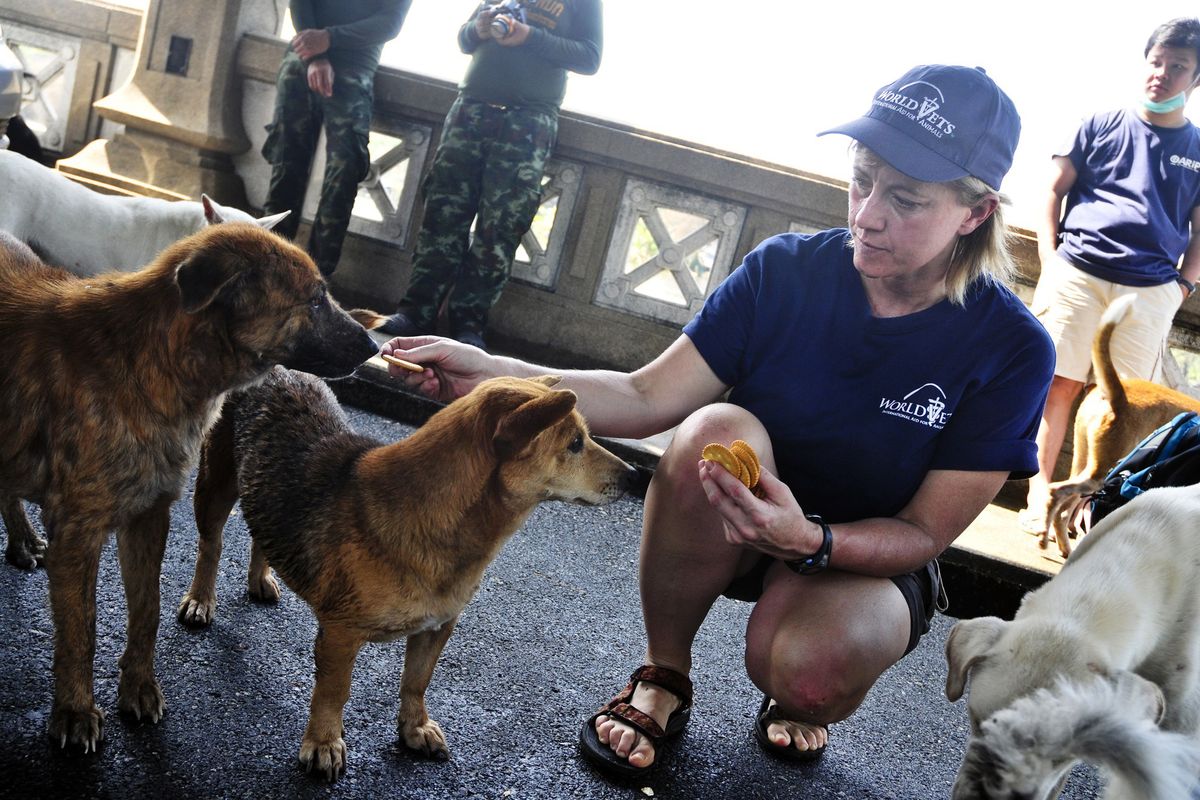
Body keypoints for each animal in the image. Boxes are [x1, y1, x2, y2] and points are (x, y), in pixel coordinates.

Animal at [0, 224, 379, 753]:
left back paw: (20, 540)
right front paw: (75, 711)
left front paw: (139, 688)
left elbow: (148, 610)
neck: (153, 359)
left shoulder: (149, 514)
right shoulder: (78, 530)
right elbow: (80, 630)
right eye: (316, 299)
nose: (376, 348)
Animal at [184, 369, 638, 782]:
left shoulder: (437, 627)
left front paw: (414, 727)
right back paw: (200, 600)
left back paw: (261, 577)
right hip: (215, 485)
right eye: (575, 444)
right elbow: (333, 693)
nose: (633, 476)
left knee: (260, 527)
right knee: (211, 546)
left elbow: (417, 681)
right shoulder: (340, 635)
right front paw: (324, 742)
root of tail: (277, 367)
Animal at [1036, 293, 1200, 556]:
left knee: (1063, 508)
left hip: (1085, 459)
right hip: (1100, 470)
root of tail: (1118, 395)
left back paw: (1062, 546)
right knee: (1057, 493)